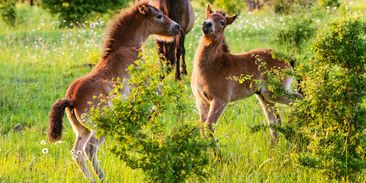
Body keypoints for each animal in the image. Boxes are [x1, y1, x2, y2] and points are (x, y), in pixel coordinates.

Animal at [48, 2, 180, 180]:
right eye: (159, 16)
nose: (177, 27)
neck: (126, 48)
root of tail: (72, 99)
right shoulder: (141, 81)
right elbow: (157, 90)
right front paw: (151, 114)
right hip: (100, 126)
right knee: (90, 148)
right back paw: (102, 177)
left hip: (82, 129)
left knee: (77, 153)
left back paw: (91, 179)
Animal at [190, 4, 302, 146]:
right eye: (207, 17)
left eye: (222, 22)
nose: (207, 25)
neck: (213, 65)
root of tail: (287, 59)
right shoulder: (201, 101)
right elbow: (203, 130)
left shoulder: (220, 101)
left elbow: (208, 128)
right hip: (264, 97)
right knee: (274, 123)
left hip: (275, 93)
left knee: (299, 99)